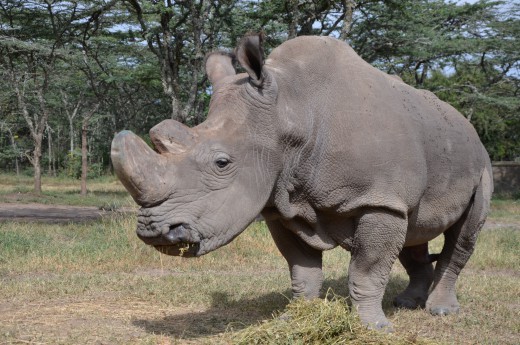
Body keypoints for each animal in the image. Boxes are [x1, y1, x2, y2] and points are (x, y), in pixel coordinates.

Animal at [109, 34, 492, 328]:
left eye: (222, 163)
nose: (154, 232)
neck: (292, 110)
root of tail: (468, 126)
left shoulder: (380, 198)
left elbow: (368, 269)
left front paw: (374, 327)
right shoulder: (282, 202)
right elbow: (301, 271)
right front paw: (293, 319)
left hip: (479, 163)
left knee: (463, 235)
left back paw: (440, 311)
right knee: (416, 230)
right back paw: (406, 304)